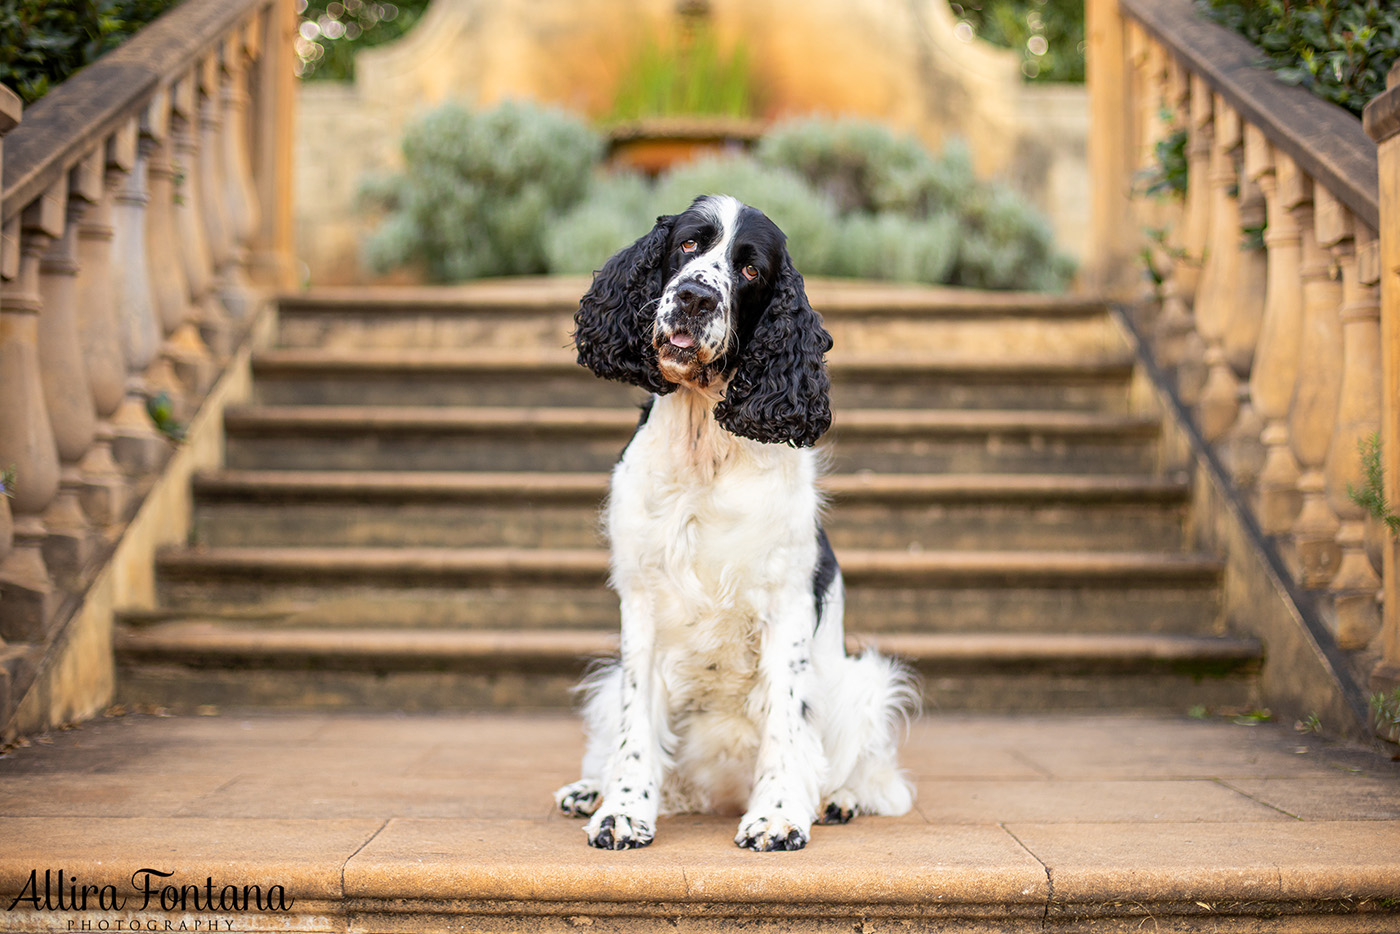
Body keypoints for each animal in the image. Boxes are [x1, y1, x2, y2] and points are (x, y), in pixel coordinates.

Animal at [557, 193, 918, 851]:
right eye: (687, 244)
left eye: (751, 270)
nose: (695, 298)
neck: (706, 446)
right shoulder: (641, 601)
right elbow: (635, 727)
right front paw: (621, 810)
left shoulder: (785, 603)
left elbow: (785, 719)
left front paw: (776, 816)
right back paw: (590, 790)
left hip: (862, 684)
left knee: (883, 783)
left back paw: (841, 800)